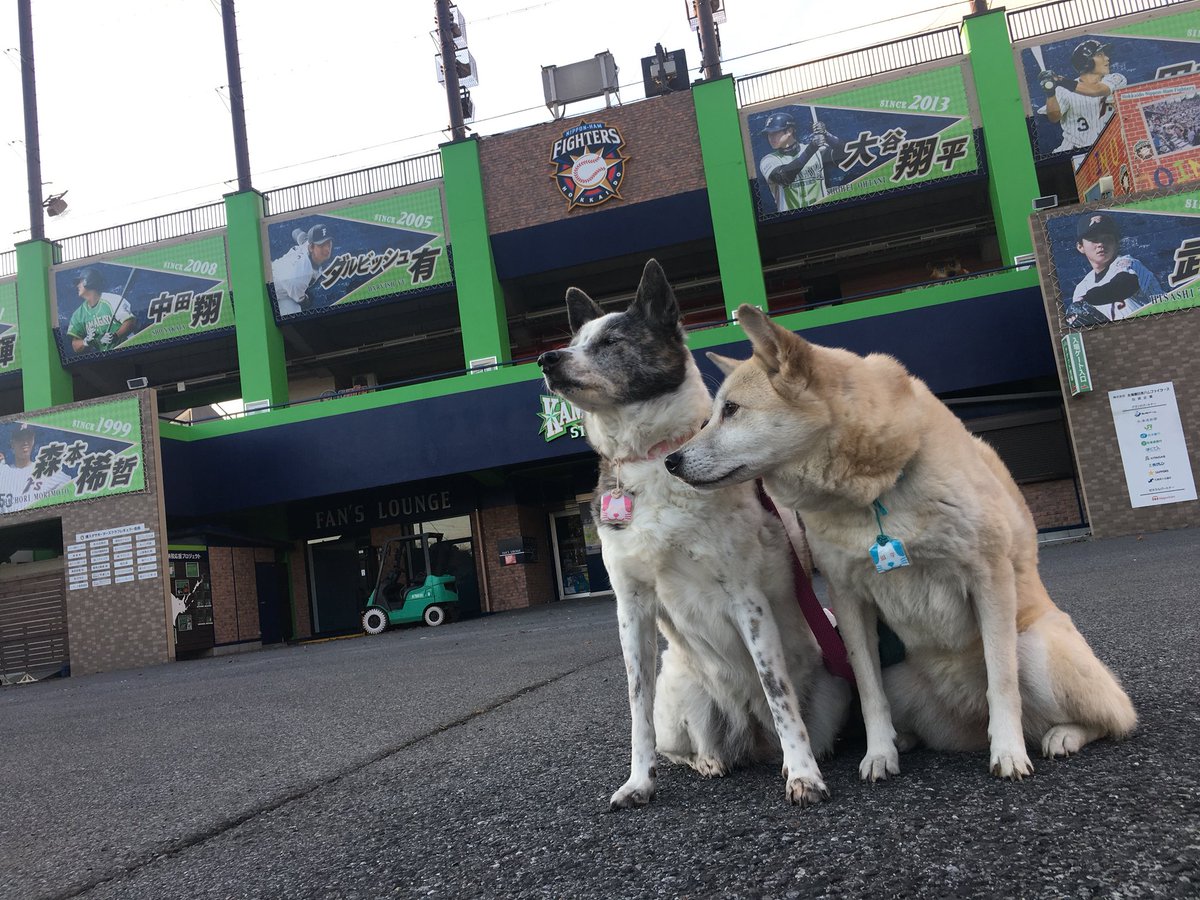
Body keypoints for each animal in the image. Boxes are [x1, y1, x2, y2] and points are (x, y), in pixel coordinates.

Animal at [540, 255, 849, 811]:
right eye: (575, 340)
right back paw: (709, 761)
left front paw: (803, 775)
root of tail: (754, 740)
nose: (546, 359)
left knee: (791, 719)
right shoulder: (632, 607)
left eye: (611, 342)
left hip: (833, 695)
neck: (651, 458)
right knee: (689, 743)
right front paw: (638, 781)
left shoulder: (748, 600)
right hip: (682, 694)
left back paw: (792, 756)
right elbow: (635, 707)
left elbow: (780, 695)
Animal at [662, 309, 1137, 782]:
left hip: (1034, 649)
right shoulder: (848, 598)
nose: (670, 460)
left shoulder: (990, 576)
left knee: (1114, 716)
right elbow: (871, 694)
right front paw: (878, 754)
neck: (874, 493)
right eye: (711, 415)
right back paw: (905, 739)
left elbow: (1002, 682)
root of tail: (966, 721)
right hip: (900, 673)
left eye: (731, 410)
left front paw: (1008, 752)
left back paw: (1063, 735)